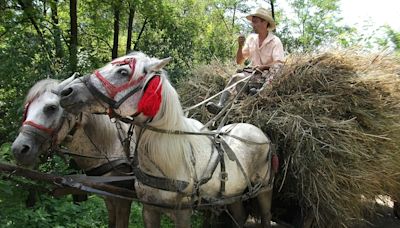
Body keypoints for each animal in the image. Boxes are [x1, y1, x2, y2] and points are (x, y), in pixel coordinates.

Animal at [11, 79, 134, 228]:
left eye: (52, 108)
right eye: (27, 109)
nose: (19, 149)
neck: (113, 145)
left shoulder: (123, 199)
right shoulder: (108, 197)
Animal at [57, 52, 274, 228]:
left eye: (123, 72)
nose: (66, 92)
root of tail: (259, 133)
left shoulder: (183, 214)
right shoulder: (149, 210)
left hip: (264, 190)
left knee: (265, 216)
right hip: (234, 194)